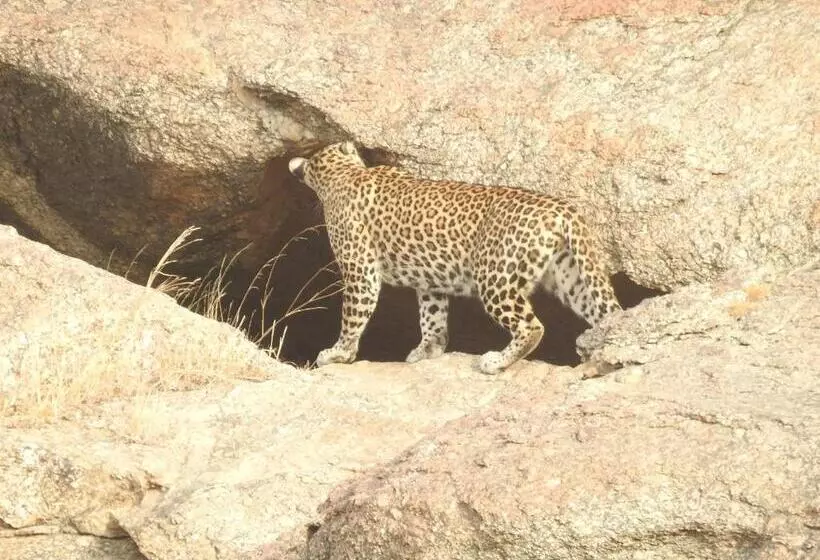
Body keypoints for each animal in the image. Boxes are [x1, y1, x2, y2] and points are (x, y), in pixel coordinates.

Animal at [288, 141, 622, 374]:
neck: (344, 172)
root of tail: (560, 208)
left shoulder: (361, 272)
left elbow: (353, 316)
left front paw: (338, 353)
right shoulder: (430, 281)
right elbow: (432, 317)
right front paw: (428, 350)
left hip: (495, 277)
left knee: (531, 326)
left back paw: (496, 361)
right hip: (570, 276)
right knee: (605, 314)